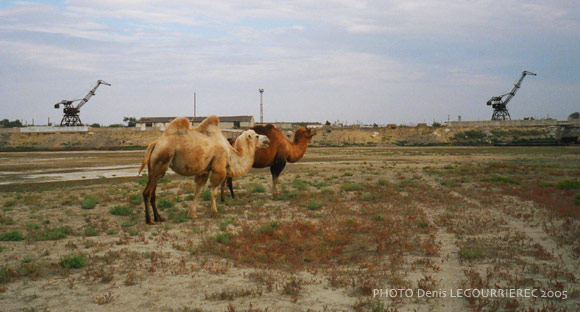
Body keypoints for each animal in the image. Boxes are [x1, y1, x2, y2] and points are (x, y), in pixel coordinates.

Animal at [139, 116, 268, 223]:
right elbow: (213, 191)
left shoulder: (204, 170)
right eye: (257, 136)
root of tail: (155, 143)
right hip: (161, 160)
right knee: (147, 192)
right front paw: (214, 211)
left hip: (155, 167)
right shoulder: (219, 168)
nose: (267, 139)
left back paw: (159, 218)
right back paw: (149, 220)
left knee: (153, 191)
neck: (230, 153)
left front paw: (192, 214)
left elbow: (198, 189)